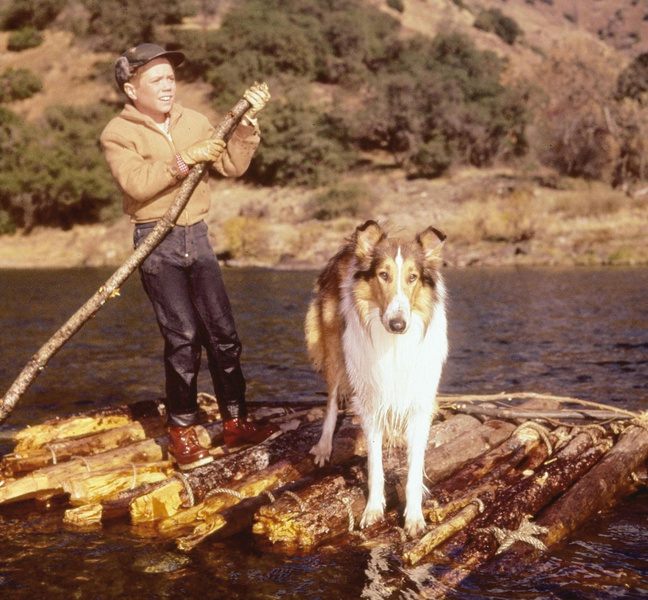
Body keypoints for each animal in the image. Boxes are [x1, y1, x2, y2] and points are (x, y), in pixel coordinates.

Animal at [306, 219, 448, 536]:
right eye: (383, 275)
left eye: (412, 277)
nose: (398, 324)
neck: (394, 344)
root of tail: (350, 246)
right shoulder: (370, 402)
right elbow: (375, 467)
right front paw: (372, 510)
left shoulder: (420, 403)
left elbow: (414, 468)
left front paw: (414, 516)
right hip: (336, 349)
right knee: (331, 399)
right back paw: (324, 445)